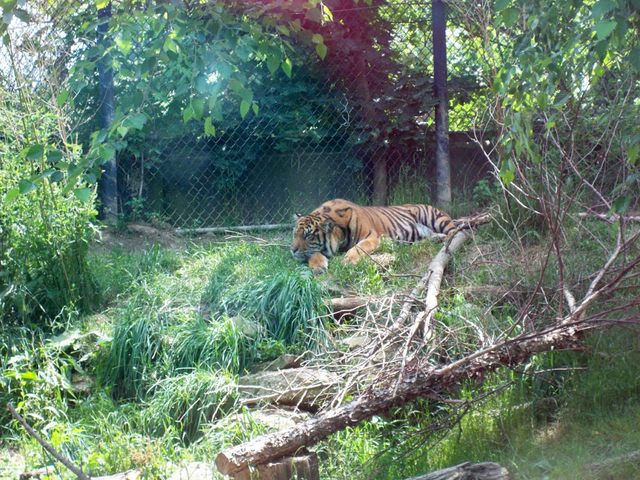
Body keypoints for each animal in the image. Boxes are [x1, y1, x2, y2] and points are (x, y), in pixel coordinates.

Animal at [291, 198, 463, 273]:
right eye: (295, 234)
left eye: (308, 236)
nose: (292, 250)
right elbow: (313, 254)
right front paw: (318, 266)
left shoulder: (372, 237)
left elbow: (359, 248)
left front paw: (348, 261)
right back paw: (436, 239)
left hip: (433, 216)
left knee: (457, 231)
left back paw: (448, 242)